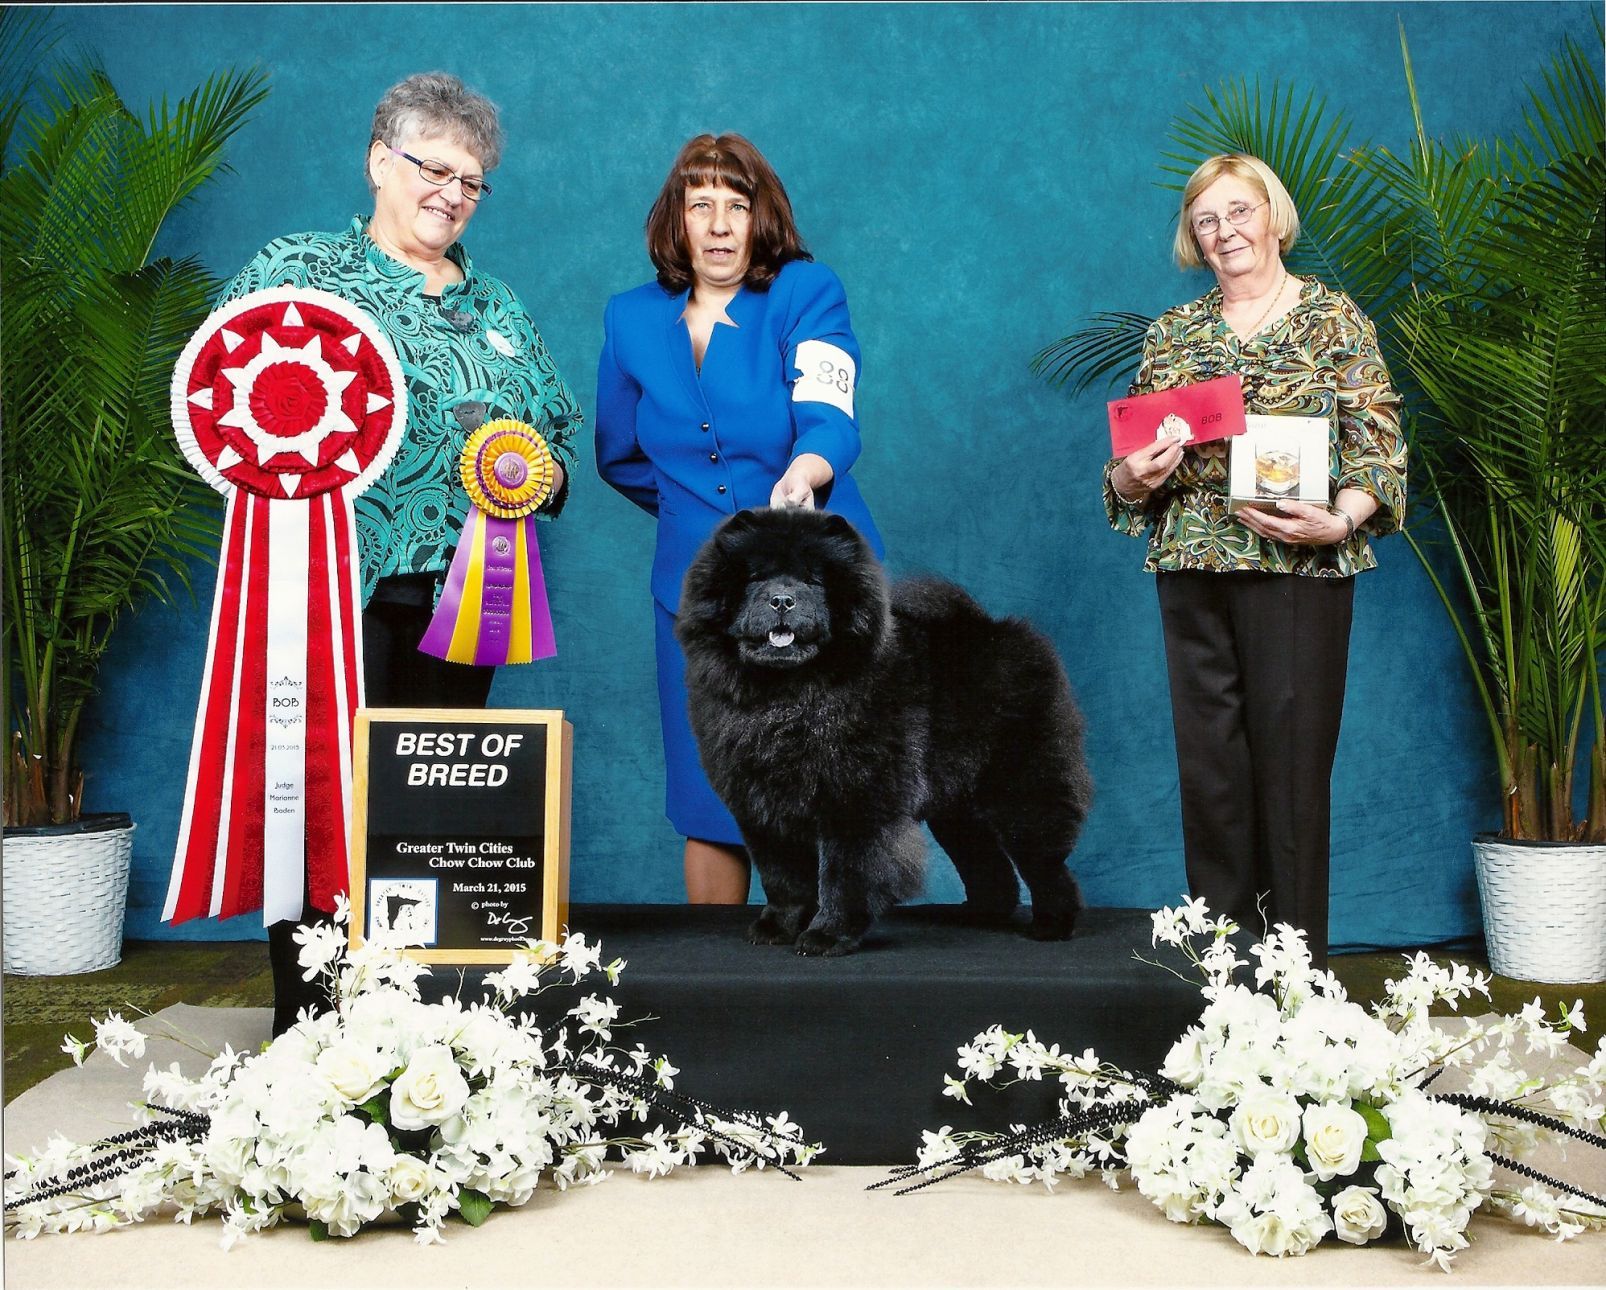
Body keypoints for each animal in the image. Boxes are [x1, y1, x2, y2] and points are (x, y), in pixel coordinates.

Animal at [677, 510, 1092, 951]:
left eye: (812, 581)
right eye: (756, 578)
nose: (782, 600)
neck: (791, 695)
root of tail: (994, 627)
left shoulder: (856, 799)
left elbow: (845, 875)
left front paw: (829, 934)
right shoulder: (764, 807)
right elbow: (784, 878)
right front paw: (777, 927)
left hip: (1021, 788)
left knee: (1045, 863)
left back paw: (1052, 924)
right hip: (956, 806)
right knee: (987, 863)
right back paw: (980, 913)